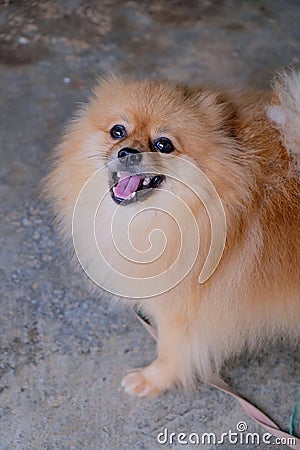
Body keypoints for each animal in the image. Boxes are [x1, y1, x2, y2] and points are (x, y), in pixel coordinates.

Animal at [44, 68, 300, 396]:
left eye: (164, 144)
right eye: (118, 131)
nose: (127, 152)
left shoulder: (182, 310)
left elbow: (171, 350)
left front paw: (152, 379)